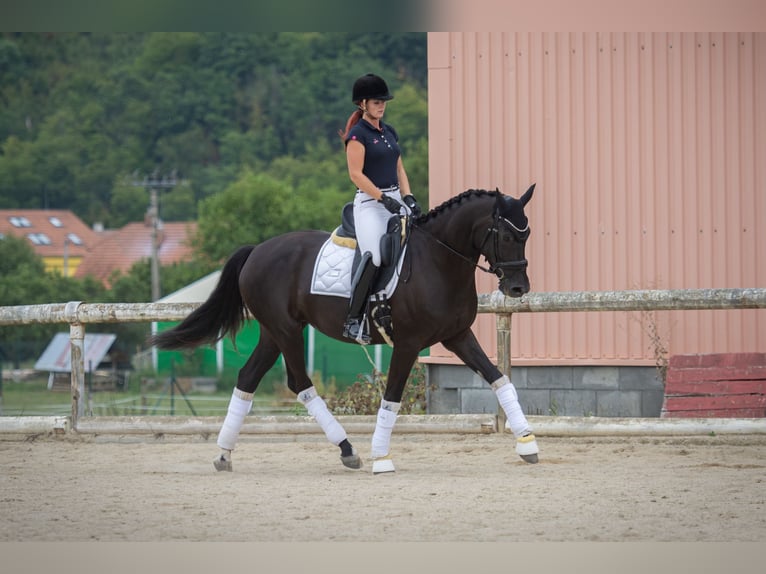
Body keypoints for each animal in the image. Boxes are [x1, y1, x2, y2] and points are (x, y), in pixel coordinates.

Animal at [150, 187, 540, 474]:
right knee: (300, 383)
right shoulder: (409, 343)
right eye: (507, 234)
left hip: (273, 333)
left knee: (248, 377)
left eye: (528, 233)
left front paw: (527, 442)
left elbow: (499, 380)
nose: (518, 288)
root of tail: (258, 249)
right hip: (286, 330)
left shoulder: (457, 336)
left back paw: (224, 454)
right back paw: (348, 448)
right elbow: (392, 397)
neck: (438, 260)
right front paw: (382, 458)